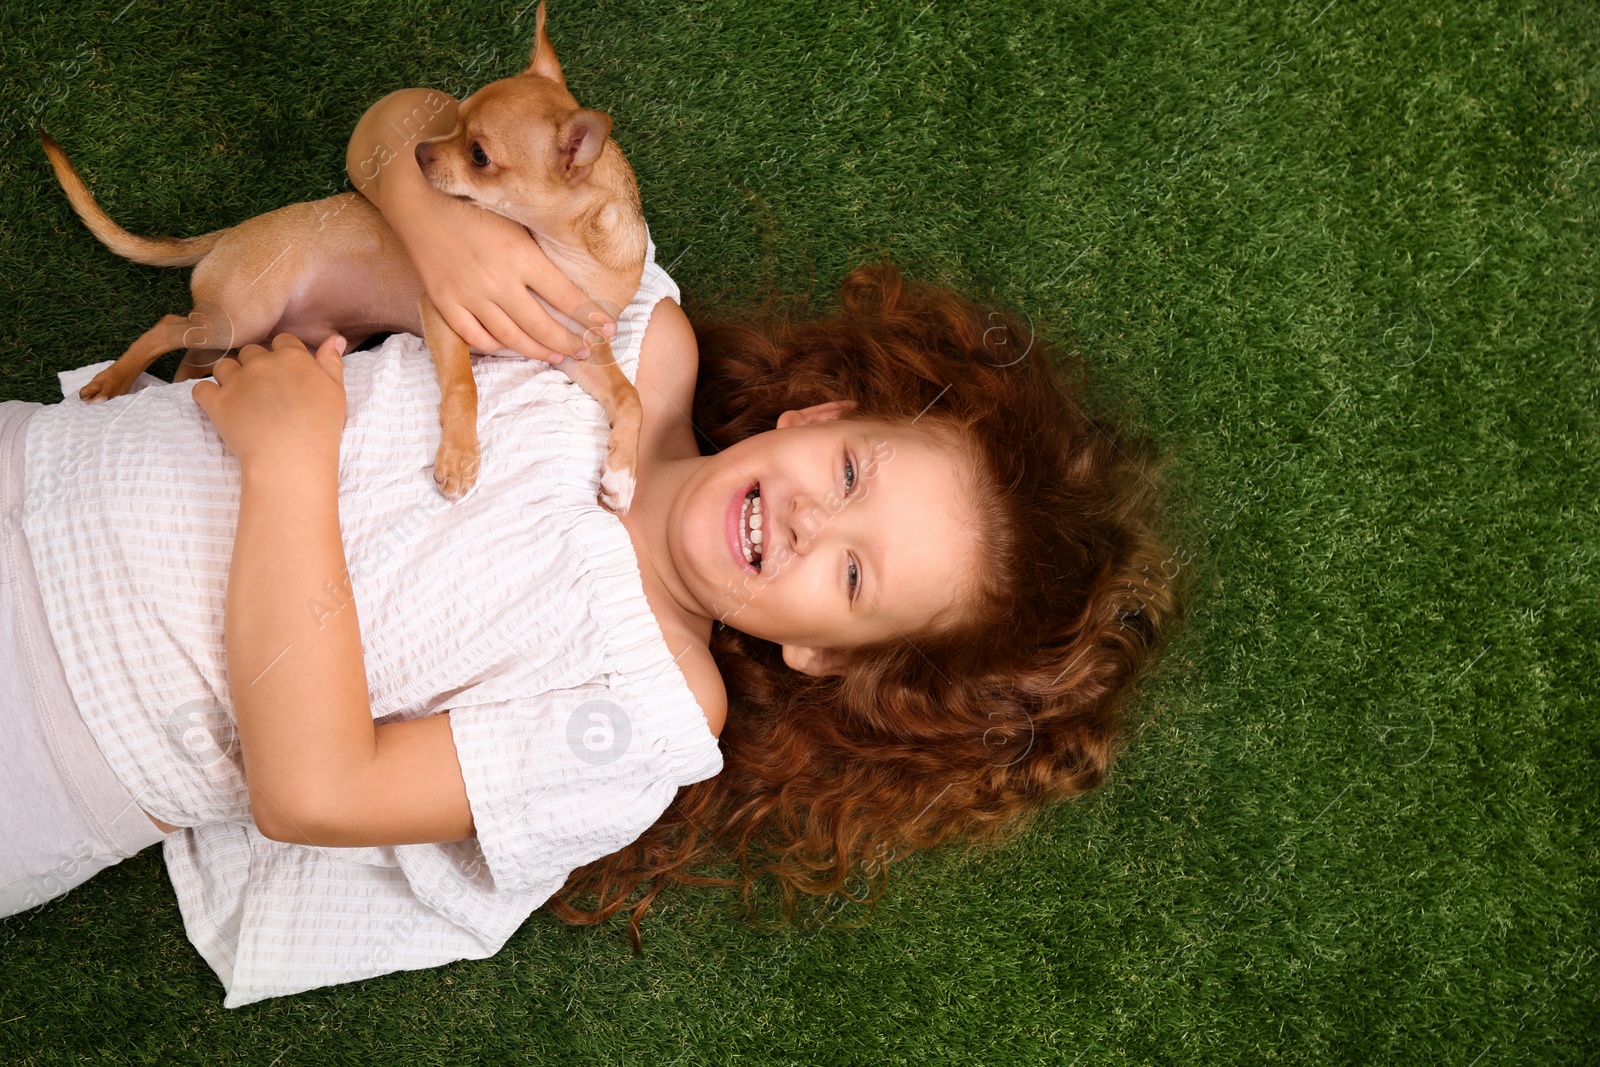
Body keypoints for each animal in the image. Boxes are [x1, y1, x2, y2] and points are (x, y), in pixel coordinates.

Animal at [40, 0, 646, 511]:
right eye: (451, 119)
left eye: (479, 155)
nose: (418, 152)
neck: (571, 257)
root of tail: (228, 234)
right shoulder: (444, 316)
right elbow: (463, 387)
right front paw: (459, 458)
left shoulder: (575, 351)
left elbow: (630, 397)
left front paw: (621, 476)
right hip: (241, 316)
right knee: (167, 325)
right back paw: (113, 381)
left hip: (254, 334)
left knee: (191, 355)